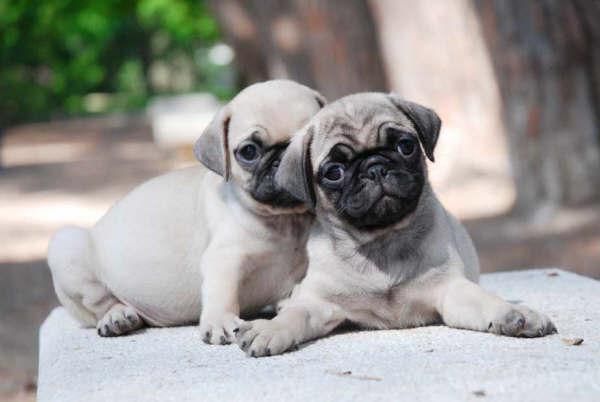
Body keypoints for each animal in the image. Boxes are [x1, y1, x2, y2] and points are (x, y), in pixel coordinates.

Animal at [48, 80, 326, 344]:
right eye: (249, 151)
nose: (285, 159)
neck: (286, 220)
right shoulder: (225, 259)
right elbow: (222, 293)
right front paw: (220, 322)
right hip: (67, 247)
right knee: (99, 303)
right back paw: (117, 316)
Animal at [236, 92, 556, 356]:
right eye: (334, 172)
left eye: (405, 146)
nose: (375, 167)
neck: (381, 241)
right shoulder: (318, 302)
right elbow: (295, 314)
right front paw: (271, 329)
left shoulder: (450, 290)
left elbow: (484, 300)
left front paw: (514, 315)